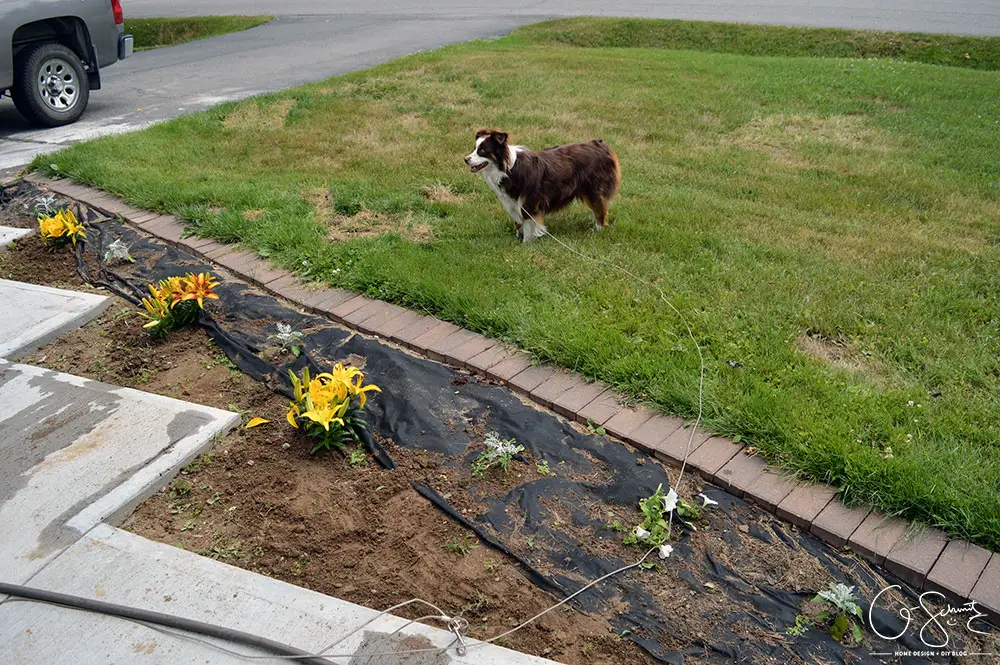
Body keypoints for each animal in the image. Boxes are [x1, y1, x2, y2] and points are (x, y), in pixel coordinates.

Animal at [464, 128, 620, 243]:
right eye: (474, 149)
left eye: (482, 151)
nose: (465, 159)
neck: (508, 169)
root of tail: (600, 144)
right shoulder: (513, 202)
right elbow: (518, 222)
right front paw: (518, 238)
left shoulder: (529, 202)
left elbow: (527, 224)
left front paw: (526, 244)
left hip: (593, 190)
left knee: (600, 210)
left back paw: (598, 230)